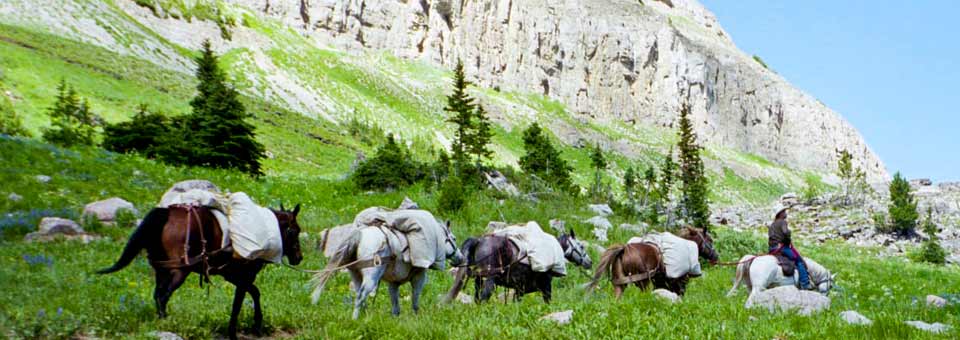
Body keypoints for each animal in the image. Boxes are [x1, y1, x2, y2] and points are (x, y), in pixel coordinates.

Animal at [97, 203, 300, 338]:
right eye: (295, 230)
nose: (299, 258)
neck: (263, 229)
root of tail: (166, 213)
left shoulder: (233, 276)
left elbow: (255, 293)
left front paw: (257, 325)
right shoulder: (244, 277)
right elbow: (239, 304)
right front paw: (236, 331)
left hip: (161, 270)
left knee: (157, 294)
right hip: (179, 271)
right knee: (163, 296)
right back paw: (167, 323)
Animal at [588, 227, 716, 298]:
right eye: (710, 240)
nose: (716, 256)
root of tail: (624, 249)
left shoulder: (660, 282)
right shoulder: (679, 282)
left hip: (621, 284)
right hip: (643, 281)